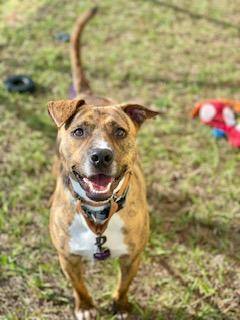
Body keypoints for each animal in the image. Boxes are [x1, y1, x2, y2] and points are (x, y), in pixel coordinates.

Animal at [47, 7, 159, 320]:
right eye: (78, 131)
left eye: (119, 132)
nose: (101, 155)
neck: (98, 216)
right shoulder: (67, 257)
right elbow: (79, 287)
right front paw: (86, 306)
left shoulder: (133, 255)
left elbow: (123, 285)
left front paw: (120, 307)